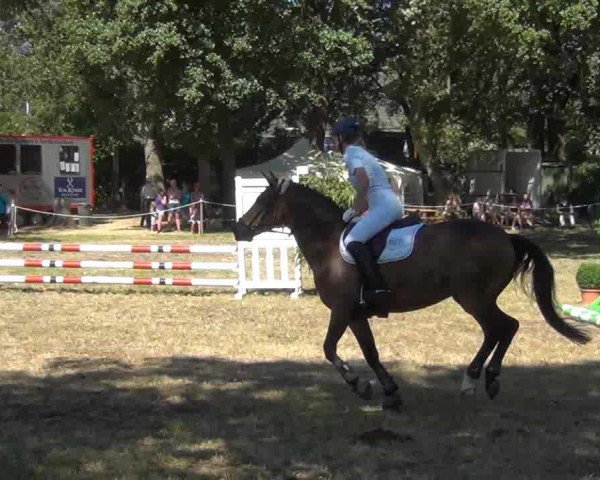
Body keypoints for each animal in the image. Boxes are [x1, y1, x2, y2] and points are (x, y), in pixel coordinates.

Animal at [231, 174, 592, 410]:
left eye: (263, 201)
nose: (237, 229)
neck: (329, 244)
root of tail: (506, 236)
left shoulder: (341, 310)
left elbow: (329, 348)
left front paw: (358, 385)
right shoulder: (356, 314)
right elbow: (371, 352)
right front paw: (390, 391)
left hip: (473, 298)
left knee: (503, 327)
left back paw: (478, 378)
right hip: (477, 298)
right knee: (499, 330)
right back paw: (481, 378)